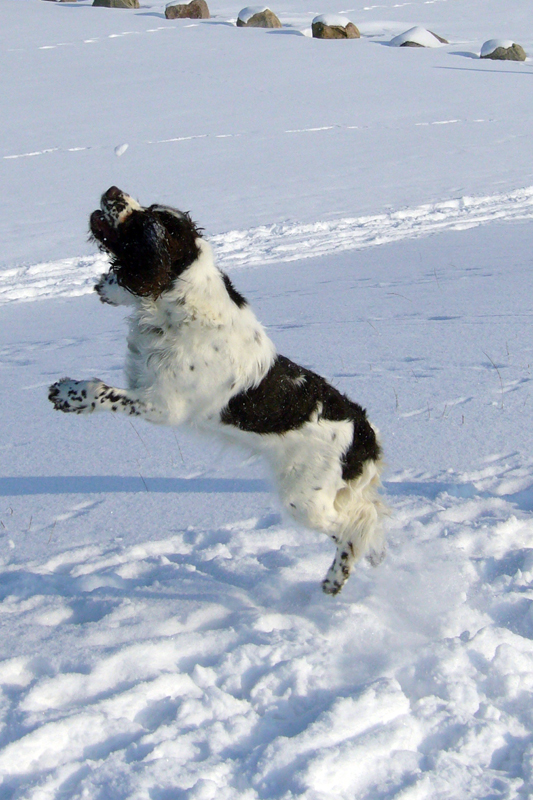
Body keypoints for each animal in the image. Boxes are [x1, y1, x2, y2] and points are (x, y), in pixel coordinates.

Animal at [48, 188, 382, 592]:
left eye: (146, 222)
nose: (113, 191)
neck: (178, 308)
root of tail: (364, 430)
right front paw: (110, 289)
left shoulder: (164, 406)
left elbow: (102, 390)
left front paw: (69, 394)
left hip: (303, 498)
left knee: (359, 523)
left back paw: (336, 577)